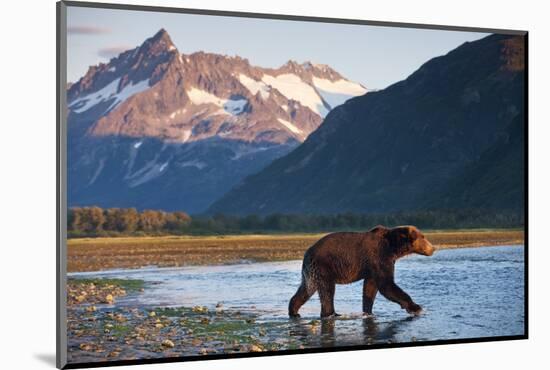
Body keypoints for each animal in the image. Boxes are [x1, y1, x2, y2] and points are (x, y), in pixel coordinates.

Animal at [288, 225, 436, 318]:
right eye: (423, 237)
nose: (433, 248)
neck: (392, 247)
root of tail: (307, 253)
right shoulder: (379, 257)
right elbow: (387, 285)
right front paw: (416, 307)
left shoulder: (372, 267)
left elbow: (370, 288)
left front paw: (368, 311)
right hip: (324, 266)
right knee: (327, 290)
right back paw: (331, 313)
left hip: (311, 272)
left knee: (306, 290)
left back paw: (294, 311)